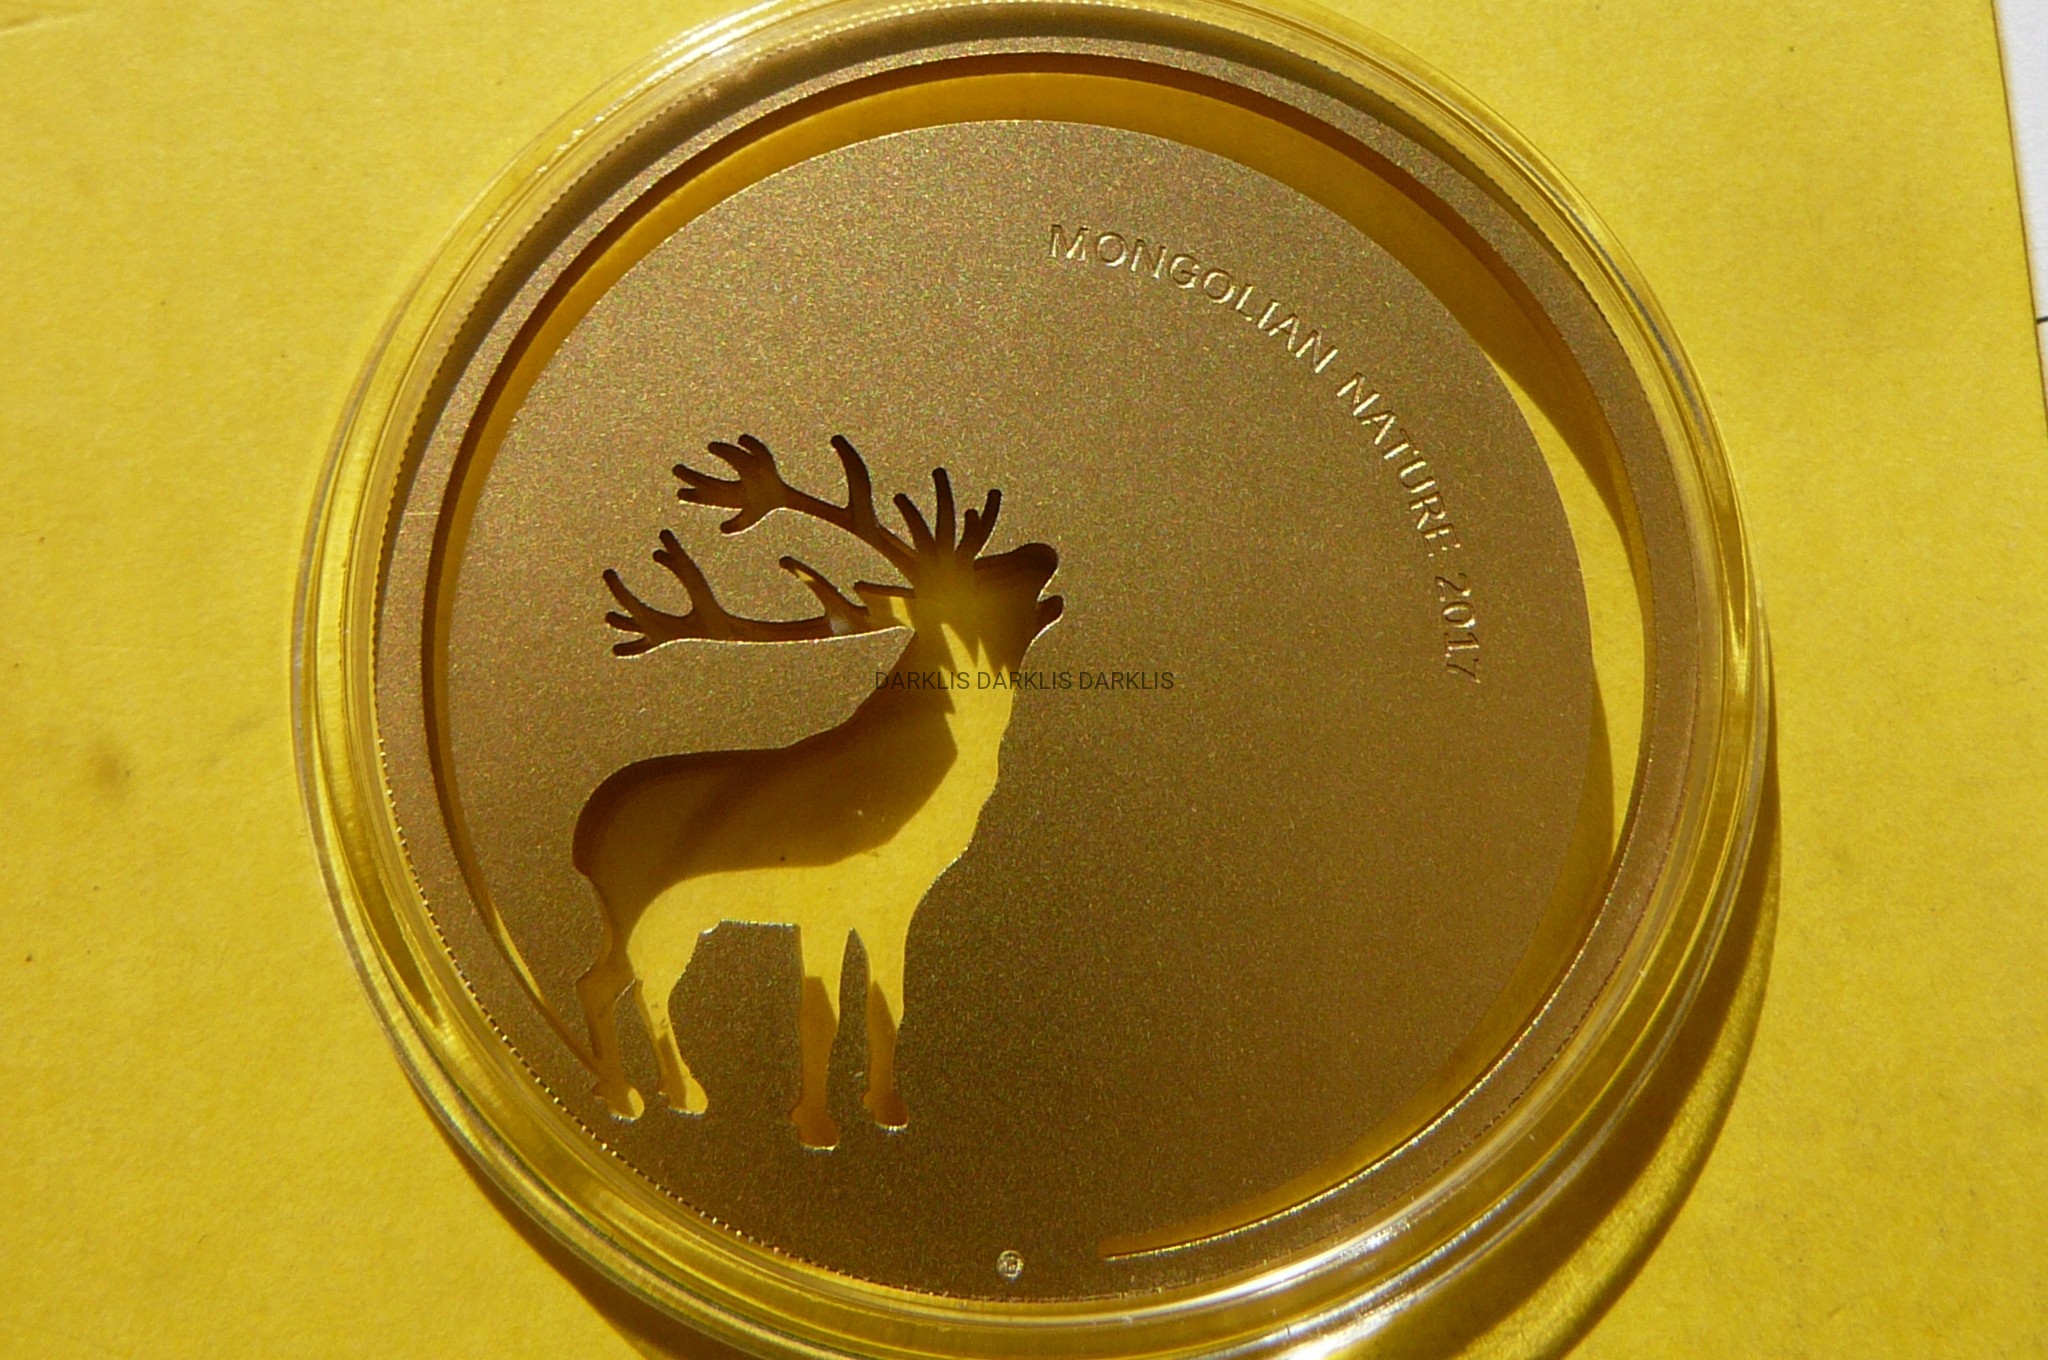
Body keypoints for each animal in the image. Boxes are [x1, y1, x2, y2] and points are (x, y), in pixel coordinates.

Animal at [571, 434, 1063, 1147]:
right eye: (975, 584)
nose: (1043, 552)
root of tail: (583, 838)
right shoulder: (822, 898)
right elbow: (818, 1013)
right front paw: (814, 1125)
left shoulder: (892, 902)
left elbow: (888, 1006)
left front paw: (887, 1108)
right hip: (641, 910)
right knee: (605, 986)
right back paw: (627, 1095)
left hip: (673, 919)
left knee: (638, 987)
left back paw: (676, 1091)